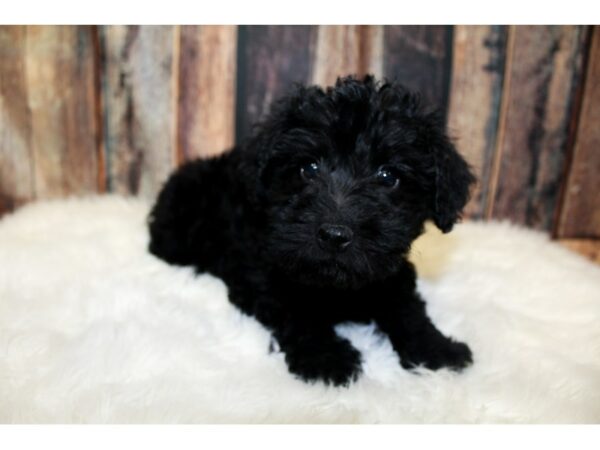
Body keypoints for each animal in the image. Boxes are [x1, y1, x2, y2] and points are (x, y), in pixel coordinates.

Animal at [149, 75, 474, 384]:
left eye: (388, 176)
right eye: (308, 168)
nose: (334, 235)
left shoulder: (390, 270)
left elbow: (406, 306)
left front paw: (437, 350)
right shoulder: (263, 271)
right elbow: (298, 310)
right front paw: (327, 358)